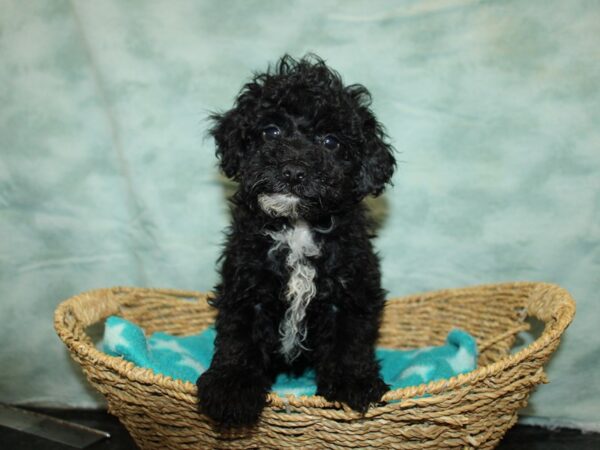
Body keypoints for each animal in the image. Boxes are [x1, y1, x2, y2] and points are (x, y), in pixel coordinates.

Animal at [196, 54, 394, 428]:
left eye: (331, 142)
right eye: (270, 131)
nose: (293, 171)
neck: (297, 225)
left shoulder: (350, 290)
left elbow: (350, 339)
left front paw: (353, 382)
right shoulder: (246, 288)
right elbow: (238, 339)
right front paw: (231, 389)